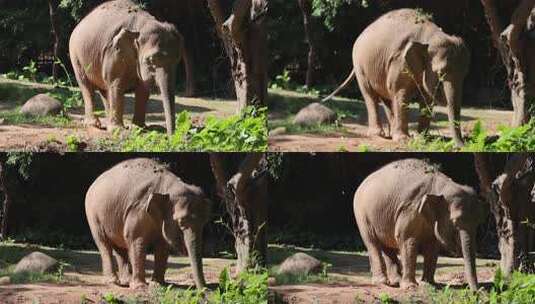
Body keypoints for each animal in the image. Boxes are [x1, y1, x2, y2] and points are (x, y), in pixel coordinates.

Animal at [69, 0, 184, 135]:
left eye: (178, 59)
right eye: (150, 60)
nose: (171, 135)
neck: (141, 25)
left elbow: (143, 89)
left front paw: (138, 128)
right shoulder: (114, 52)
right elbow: (116, 84)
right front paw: (117, 130)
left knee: (104, 89)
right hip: (76, 56)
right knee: (87, 86)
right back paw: (94, 124)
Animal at [86, 158, 211, 288]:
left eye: (205, 222)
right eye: (181, 222)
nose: (205, 289)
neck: (168, 186)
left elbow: (162, 244)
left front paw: (157, 284)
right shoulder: (139, 209)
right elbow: (136, 239)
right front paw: (140, 287)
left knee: (120, 248)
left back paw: (126, 282)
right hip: (93, 215)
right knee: (104, 244)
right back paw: (113, 282)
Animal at [322, 8, 468, 147]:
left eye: (464, 74)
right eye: (440, 73)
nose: (460, 146)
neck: (430, 35)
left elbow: (425, 98)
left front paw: (421, 139)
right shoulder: (399, 61)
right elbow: (400, 92)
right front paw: (405, 140)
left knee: (387, 97)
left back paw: (392, 134)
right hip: (360, 67)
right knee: (371, 95)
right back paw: (378, 135)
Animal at [354, 158, 488, 290]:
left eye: (479, 222)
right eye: (455, 222)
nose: (478, 291)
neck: (441, 186)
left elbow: (432, 245)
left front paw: (428, 284)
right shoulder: (410, 209)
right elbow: (407, 240)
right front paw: (410, 287)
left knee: (387, 246)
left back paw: (396, 281)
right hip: (362, 215)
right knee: (372, 243)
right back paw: (381, 282)